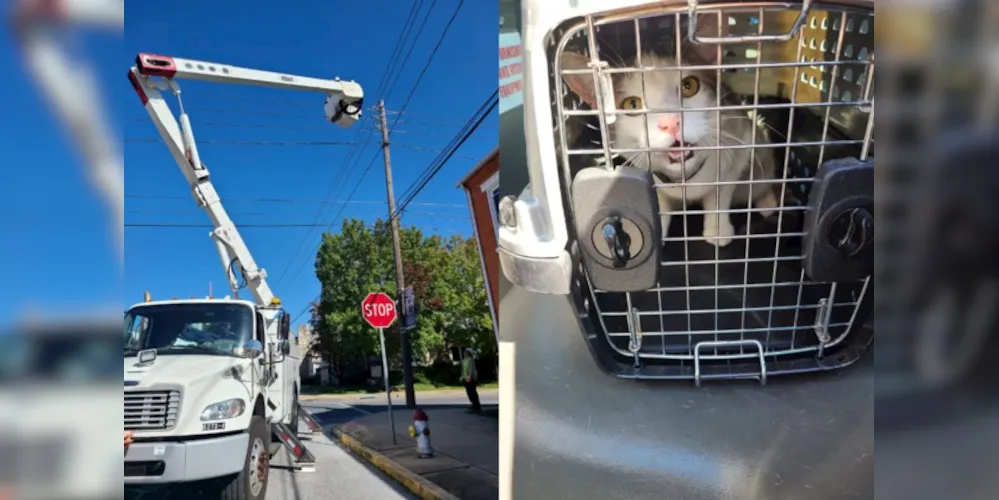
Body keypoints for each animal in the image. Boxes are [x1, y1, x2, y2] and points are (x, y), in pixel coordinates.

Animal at [556, 42, 780, 247]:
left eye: (689, 86)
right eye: (632, 105)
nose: (671, 122)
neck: (684, 176)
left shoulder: (739, 140)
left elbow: (720, 192)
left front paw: (718, 229)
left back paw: (768, 202)